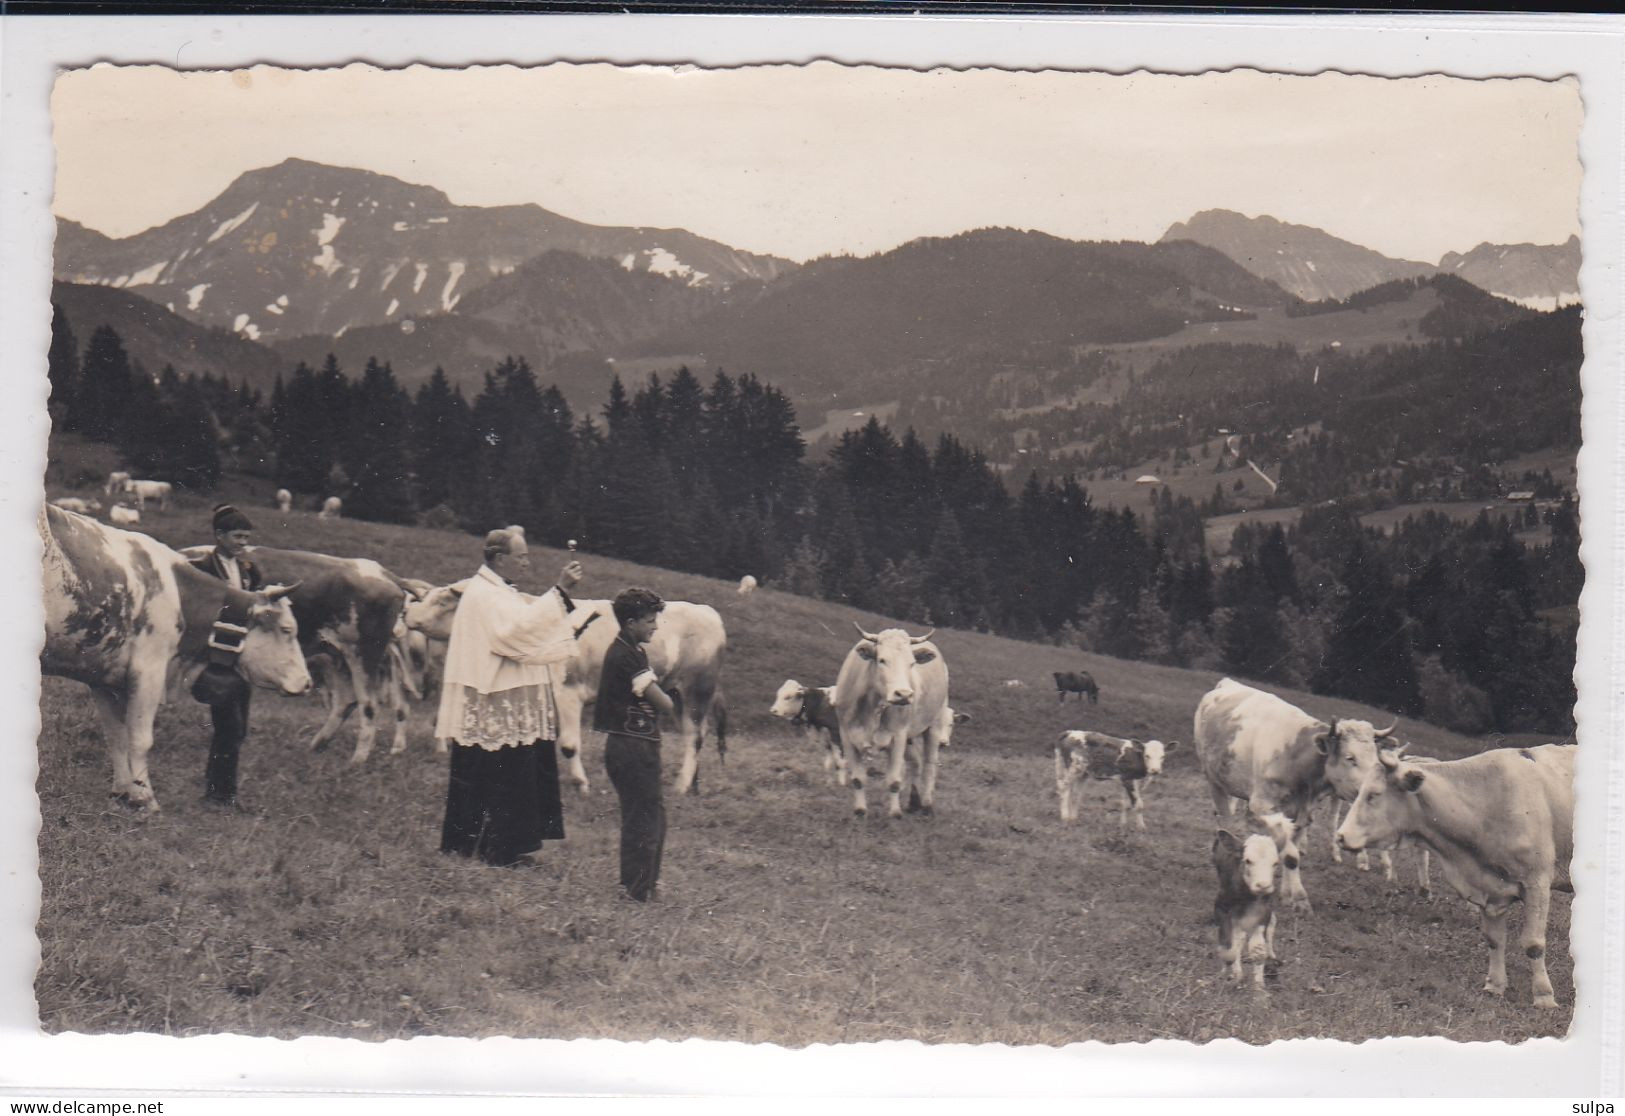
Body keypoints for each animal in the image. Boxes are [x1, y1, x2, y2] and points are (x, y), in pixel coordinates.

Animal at [41, 506, 310, 812]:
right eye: (287, 629)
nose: (307, 682)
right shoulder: (149, 669)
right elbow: (140, 739)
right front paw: (145, 798)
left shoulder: (103, 676)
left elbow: (116, 736)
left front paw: (122, 792)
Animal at [832, 623, 949, 815]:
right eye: (882, 660)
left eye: (912, 663)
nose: (904, 694)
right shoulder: (846, 735)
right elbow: (857, 779)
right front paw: (860, 810)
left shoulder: (898, 736)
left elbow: (894, 780)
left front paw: (895, 813)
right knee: (916, 762)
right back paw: (914, 802)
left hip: (934, 726)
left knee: (929, 765)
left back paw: (926, 805)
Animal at [1053, 734, 1183, 828]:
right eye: (1147, 755)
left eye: (1162, 756)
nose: (1155, 770)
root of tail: (1069, 732)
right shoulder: (1128, 780)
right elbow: (1138, 804)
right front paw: (1141, 827)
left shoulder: (1129, 781)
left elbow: (1125, 803)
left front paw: (1122, 824)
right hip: (1073, 768)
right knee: (1064, 788)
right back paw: (1065, 817)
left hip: (1083, 773)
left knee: (1076, 794)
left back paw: (1074, 818)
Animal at [1196, 675, 1397, 909]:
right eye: (1350, 758)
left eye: (1375, 757)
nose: (1377, 789)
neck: (1298, 757)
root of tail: (1228, 683)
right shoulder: (1264, 806)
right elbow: (1289, 854)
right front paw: (1299, 897)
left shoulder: (1302, 813)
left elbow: (1290, 854)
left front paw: (1286, 895)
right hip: (1214, 780)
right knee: (1225, 820)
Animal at [1332, 740, 1573, 1013]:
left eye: (1373, 794)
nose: (1340, 837)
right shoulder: (1489, 888)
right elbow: (1494, 939)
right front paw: (1494, 985)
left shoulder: (1537, 883)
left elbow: (1533, 944)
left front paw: (1544, 997)